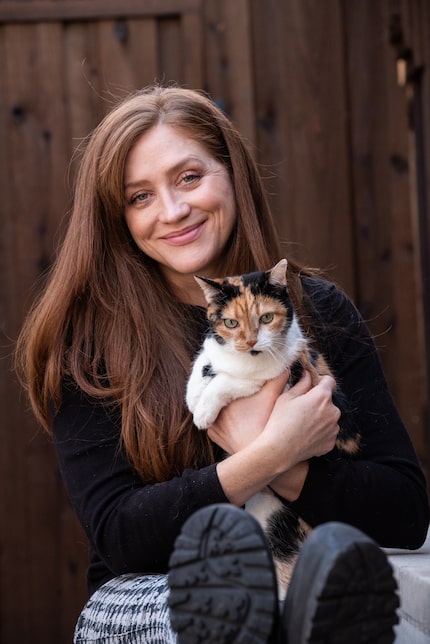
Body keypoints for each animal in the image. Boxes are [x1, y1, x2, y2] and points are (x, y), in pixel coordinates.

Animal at [186, 258, 360, 600]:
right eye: (230, 323)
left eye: (266, 318)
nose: (251, 342)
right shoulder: (215, 350)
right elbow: (204, 361)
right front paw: (194, 395)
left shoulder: (276, 374)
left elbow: (230, 381)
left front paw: (204, 410)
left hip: (272, 514)